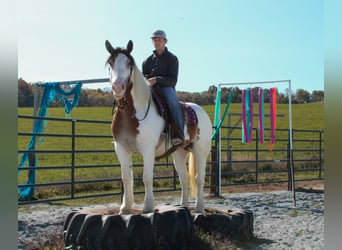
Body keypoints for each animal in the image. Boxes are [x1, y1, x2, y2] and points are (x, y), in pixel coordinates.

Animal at [105, 40, 211, 214]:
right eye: (111, 63)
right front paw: (125, 207)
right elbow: (127, 178)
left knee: (199, 178)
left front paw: (148, 207)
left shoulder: (148, 149)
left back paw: (199, 208)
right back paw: (183, 205)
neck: (132, 113)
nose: (118, 87)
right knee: (183, 178)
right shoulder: (121, 148)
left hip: (200, 151)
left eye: (129, 63)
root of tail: (201, 111)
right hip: (179, 153)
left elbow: (147, 177)